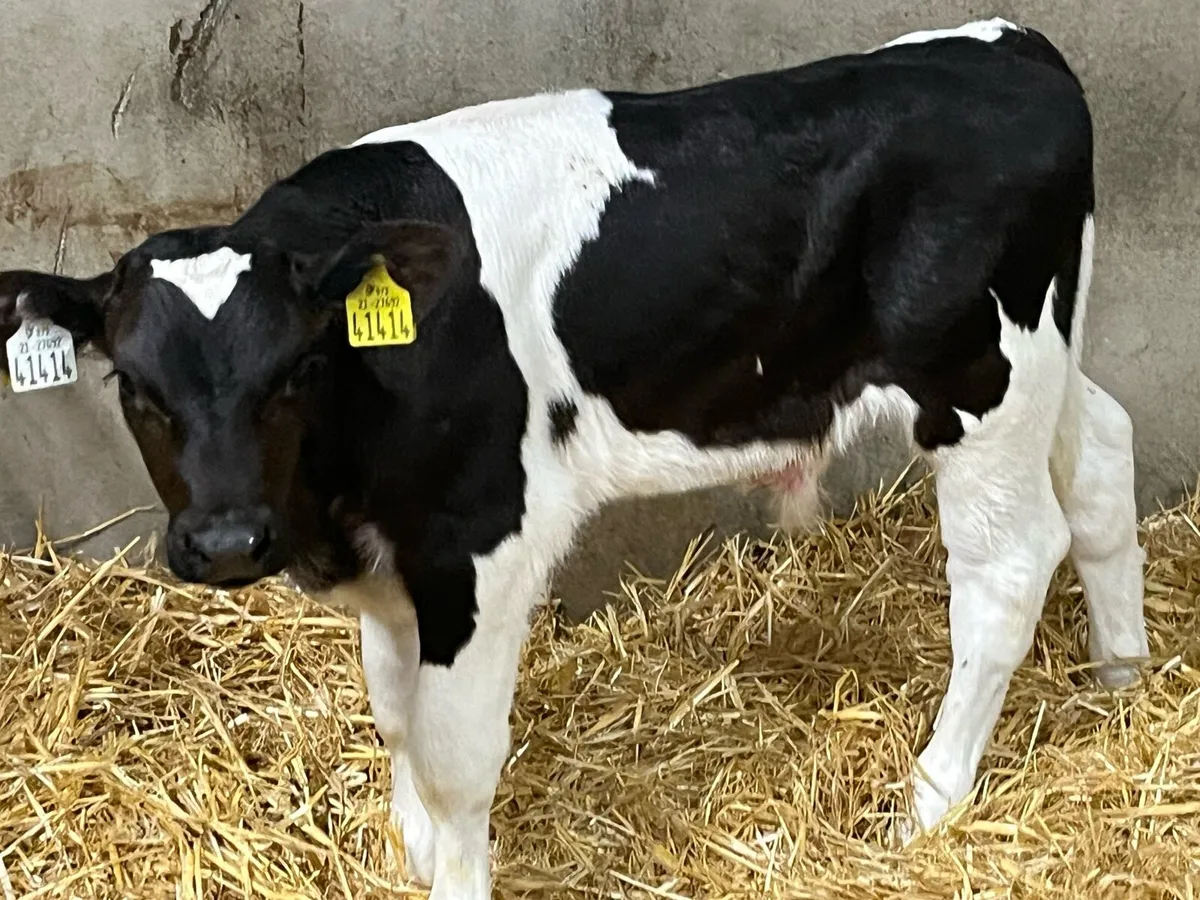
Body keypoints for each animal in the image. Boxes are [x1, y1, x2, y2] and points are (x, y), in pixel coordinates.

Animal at [0, 18, 1150, 899]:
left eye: (296, 369)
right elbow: (393, 714)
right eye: (134, 388)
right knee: (1101, 455)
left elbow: (455, 756)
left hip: (977, 383)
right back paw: (1123, 684)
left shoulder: (480, 539)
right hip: (1041, 366)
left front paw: (452, 871)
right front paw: (413, 850)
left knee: (1007, 567)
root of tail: (1012, 47)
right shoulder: (394, 558)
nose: (231, 540)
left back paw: (930, 801)